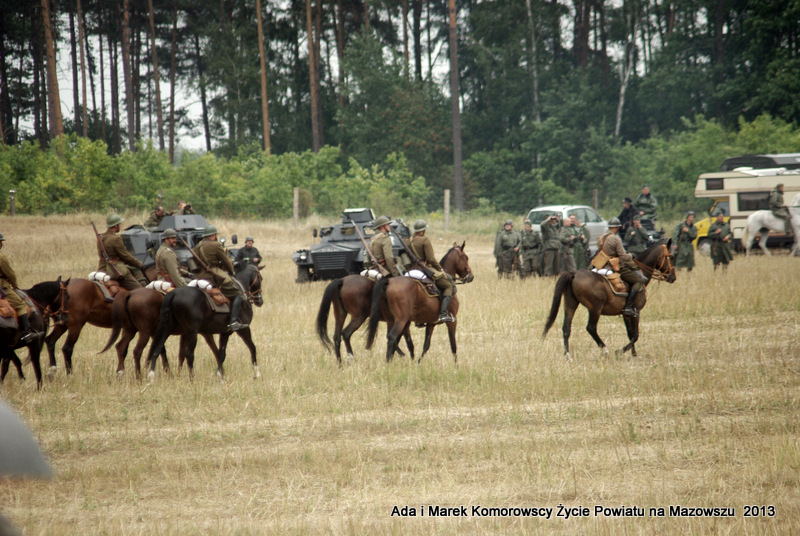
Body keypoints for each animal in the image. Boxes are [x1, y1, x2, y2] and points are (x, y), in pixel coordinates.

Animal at [542, 239, 676, 360]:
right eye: (671, 256)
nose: (673, 277)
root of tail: (574, 274)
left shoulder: (626, 314)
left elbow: (630, 334)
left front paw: (634, 354)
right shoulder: (636, 311)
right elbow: (635, 335)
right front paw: (620, 352)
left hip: (571, 304)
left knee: (566, 328)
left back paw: (568, 355)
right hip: (595, 308)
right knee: (591, 328)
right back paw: (605, 350)